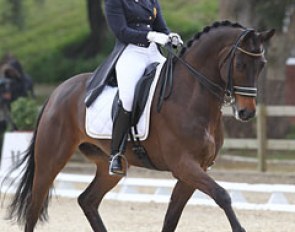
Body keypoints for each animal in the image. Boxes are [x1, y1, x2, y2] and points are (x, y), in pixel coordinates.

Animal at [4, 20, 276, 231]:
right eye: (240, 64)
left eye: (262, 65)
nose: (247, 112)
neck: (191, 96)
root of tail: (58, 91)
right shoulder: (184, 165)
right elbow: (223, 195)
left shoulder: (196, 169)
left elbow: (171, 218)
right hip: (51, 159)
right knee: (35, 206)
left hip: (108, 166)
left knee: (87, 200)